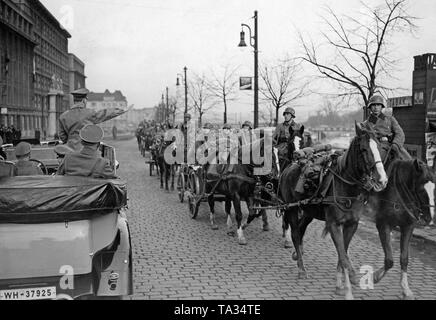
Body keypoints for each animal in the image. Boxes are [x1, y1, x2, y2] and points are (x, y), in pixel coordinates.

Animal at [280, 122, 388, 300]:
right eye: (364, 149)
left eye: (379, 147)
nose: (382, 179)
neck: (346, 186)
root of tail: (289, 167)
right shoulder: (333, 224)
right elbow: (343, 255)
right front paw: (349, 282)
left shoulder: (352, 224)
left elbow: (343, 251)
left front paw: (340, 284)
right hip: (292, 208)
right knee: (295, 233)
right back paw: (301, 268)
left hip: (309, 212)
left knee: (301, 229)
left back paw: (298, 254)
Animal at [366, 160, 434, 300]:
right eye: (421, 190)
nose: (429, 219)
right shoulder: (383, 225)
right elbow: (389, 260)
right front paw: (375, 277)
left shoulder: (408, 227)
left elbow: (404, 258)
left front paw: (405, 289)